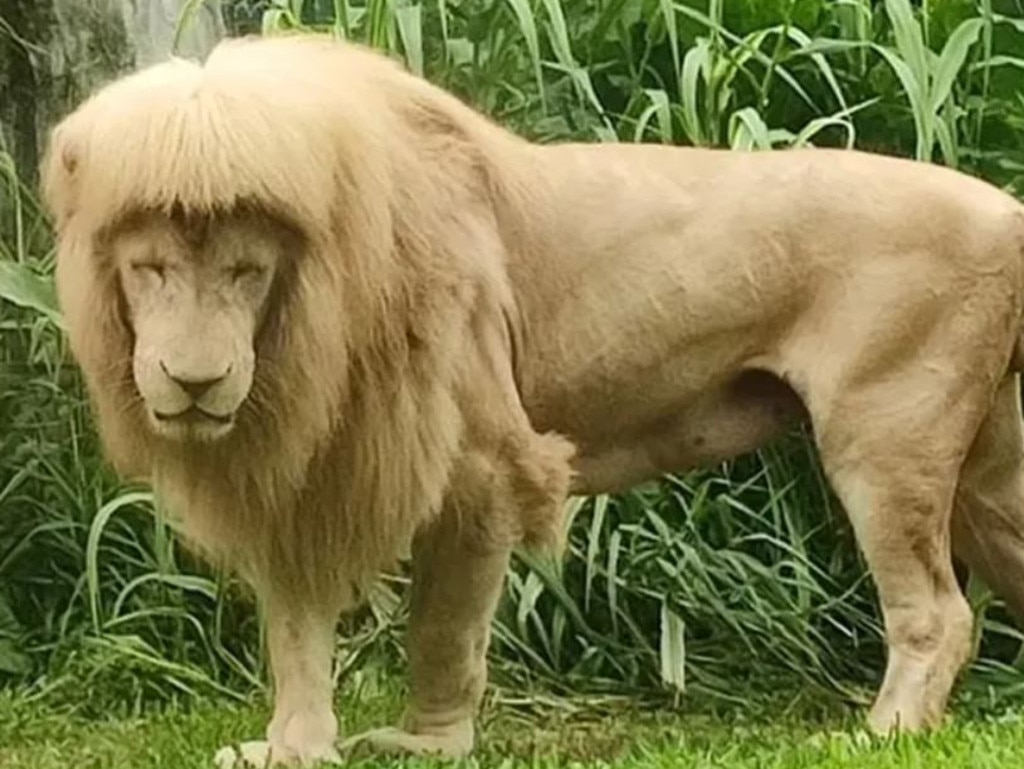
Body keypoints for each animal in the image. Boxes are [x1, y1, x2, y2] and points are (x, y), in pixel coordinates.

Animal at [44, 33, 1024, 765]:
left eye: (247, 271)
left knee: (939, 613)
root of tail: (1008, 212)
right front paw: (291, 745)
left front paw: (426, 744)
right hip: (988, 473)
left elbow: (443, 625)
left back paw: (879, 733)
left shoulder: (479, 461)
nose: (195, 380)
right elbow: (296, 630)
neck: (307, 327)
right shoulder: (306, 471)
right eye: (150, 269)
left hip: (886, 437)